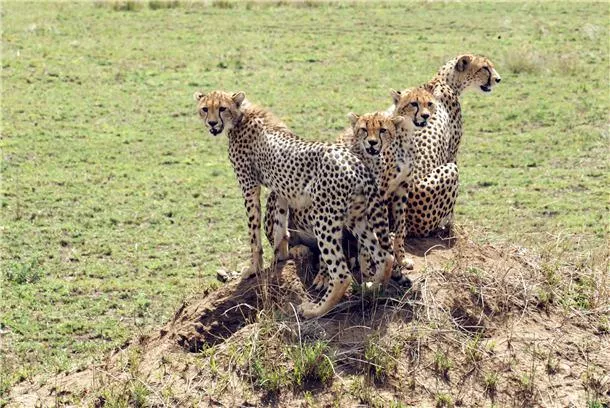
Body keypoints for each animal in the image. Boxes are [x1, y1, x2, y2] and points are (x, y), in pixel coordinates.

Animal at [195, 90, 394, 318]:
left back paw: (315, 310)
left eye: (222, 108)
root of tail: (358, 163)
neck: (241, 116)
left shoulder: (249, 186)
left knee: (342, 273)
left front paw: (254, 268)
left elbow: (254, 233)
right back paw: (372, 289)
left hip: (324, 217)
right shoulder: (281, 189)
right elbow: (280, 226)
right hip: (356, 217)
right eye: (205, 109)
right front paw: (280, 256)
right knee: (384, 255)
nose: (211, 123)